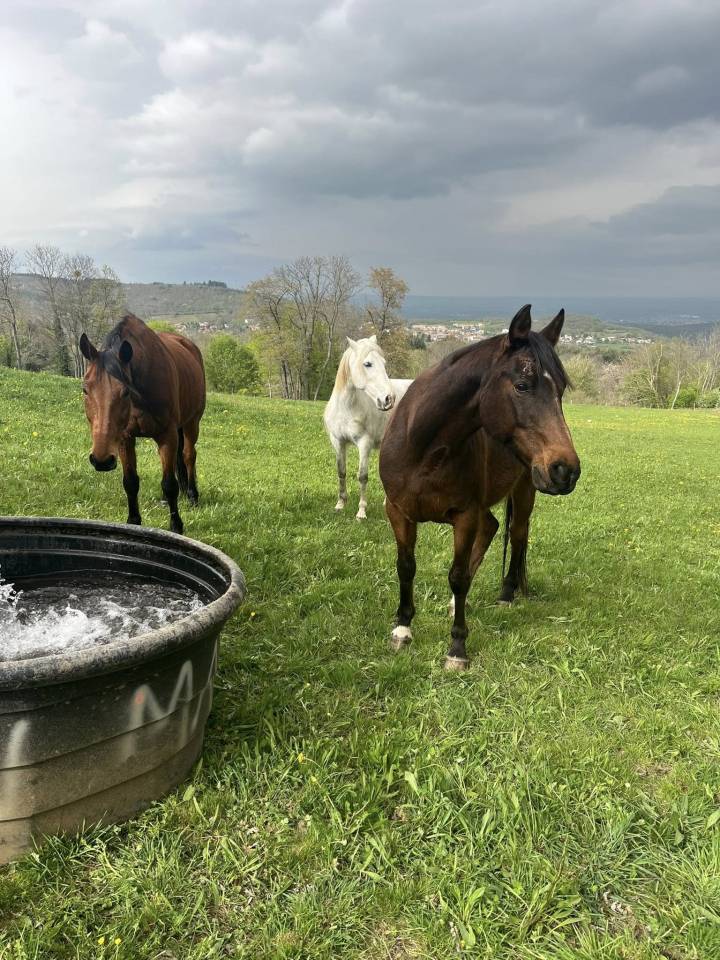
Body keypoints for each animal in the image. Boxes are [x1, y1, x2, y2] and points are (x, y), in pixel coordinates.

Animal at [79, 313, 206, 535]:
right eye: (85, 389)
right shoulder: (125, 438)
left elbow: (169, 484)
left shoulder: (168, 435)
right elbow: (130, 482)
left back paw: (192, 495)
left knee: (189, 456)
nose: (102, 461)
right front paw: (133, 522)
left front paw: (176, 526)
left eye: (125, 392)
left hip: (192, 423)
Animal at [323, 335, 412, 519]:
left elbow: (362, 476)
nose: (389, 399)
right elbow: (341, 472)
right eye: (368, 364)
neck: (346, 407)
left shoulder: (364, 443)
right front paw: (340, 504)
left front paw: (361, 511)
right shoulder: (338, 442)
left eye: (384, 363)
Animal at [379, 304, 580, 670]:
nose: (566, 470)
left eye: (560, 388)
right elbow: (406, 567)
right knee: (493, 527)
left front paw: (457, 648)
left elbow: (457, 576)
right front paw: (402, 629)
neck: (424, 448)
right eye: (522, 385)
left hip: (525, 489)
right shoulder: (398, 511)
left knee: (517, 535)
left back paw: (506, 595)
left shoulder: (465, 516)